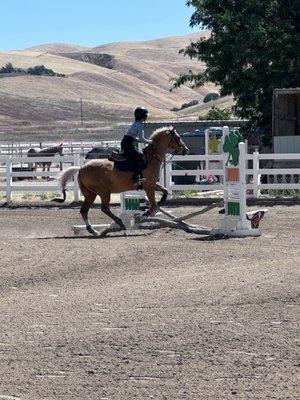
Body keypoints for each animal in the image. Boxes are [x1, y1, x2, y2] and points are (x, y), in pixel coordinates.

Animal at [54, 126, 188, 236]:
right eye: (178, 137)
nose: (186, 150)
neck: (151, 158)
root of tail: (81, 168)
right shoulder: (148, 186)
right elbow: (154, 204)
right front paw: (145, 215)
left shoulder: (151, 184)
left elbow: (165, 192)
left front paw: (156, 206)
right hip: (103, 192)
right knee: (104, 208)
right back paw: (119, 222)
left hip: (91, 194)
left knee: (84, 210)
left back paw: (93, 230)